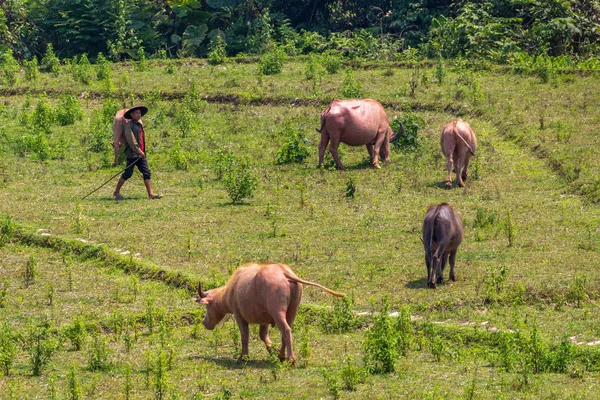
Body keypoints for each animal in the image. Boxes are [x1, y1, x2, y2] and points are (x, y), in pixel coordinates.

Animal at [193, 262, 342, 362]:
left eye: (207, 307)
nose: (204, 322)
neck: (233, 288)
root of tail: (284, 272)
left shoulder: (239, 316)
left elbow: (245, 336)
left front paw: (243, 356)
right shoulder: (264, 320)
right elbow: (263, 335)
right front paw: (272, 349)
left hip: (277, 311)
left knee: (286, 329)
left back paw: (291, 359)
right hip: (292, 311)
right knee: (286, 331)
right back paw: (281, 356)